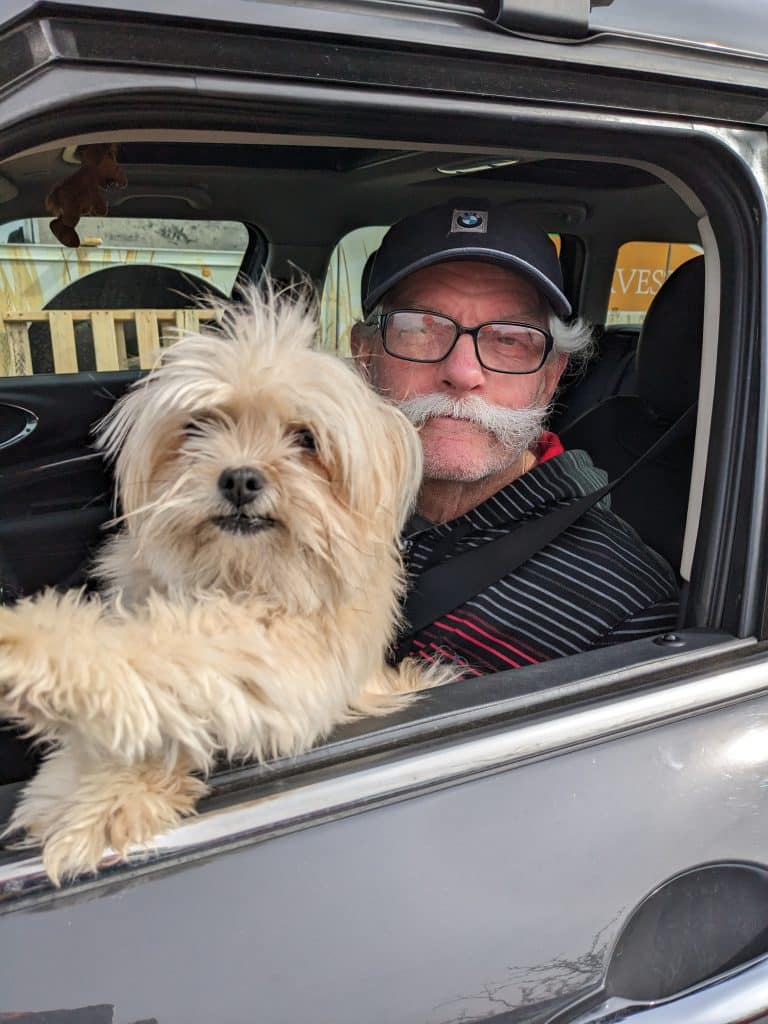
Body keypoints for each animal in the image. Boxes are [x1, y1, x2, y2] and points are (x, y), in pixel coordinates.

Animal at [0, 284, 444, 884]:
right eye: (199, 425)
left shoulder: (281, 662)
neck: (240, 574)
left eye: (306, 438)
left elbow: (165, 661)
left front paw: (28, 650)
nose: (239, 478)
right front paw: (85, 793)